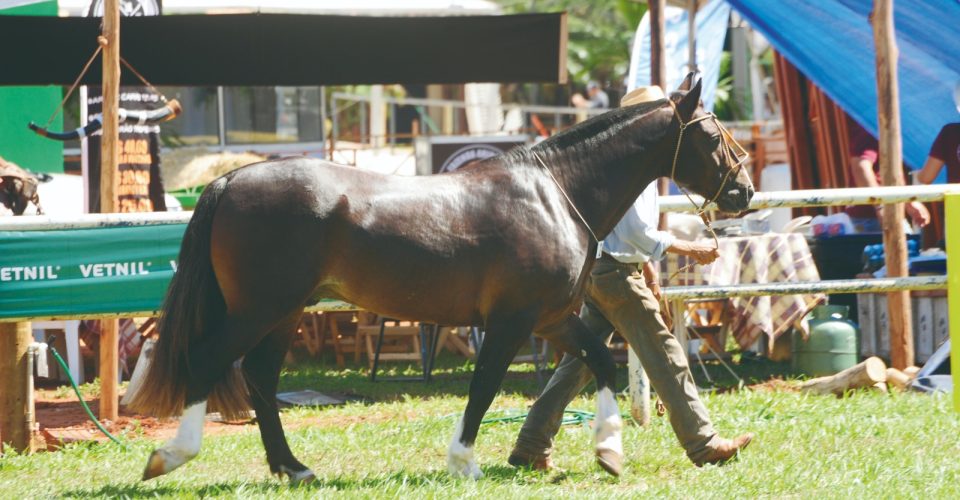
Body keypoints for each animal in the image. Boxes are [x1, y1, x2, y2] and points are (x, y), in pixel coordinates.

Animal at [128, 73, 753, 483]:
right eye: (712, 135)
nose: (744, 192)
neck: (554, 192)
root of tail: (228, 181)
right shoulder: (510, 323)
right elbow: (483, 388)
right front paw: (463, 461)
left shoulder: (551, 320)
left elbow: (600, 361)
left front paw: (609, 451)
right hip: (260, 308)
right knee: (210, 361)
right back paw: (170, 457)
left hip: (284, 312)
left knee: (258, 377)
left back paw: (293, 468)